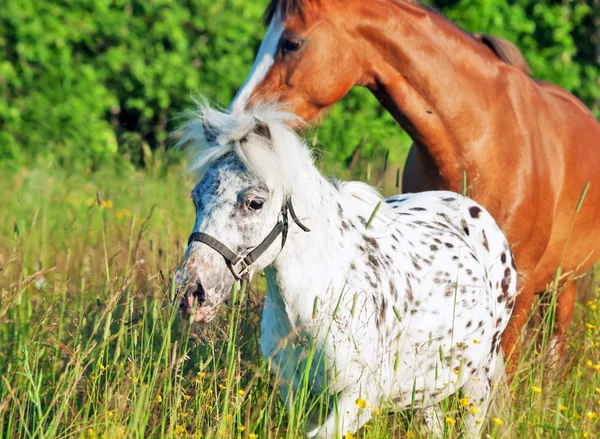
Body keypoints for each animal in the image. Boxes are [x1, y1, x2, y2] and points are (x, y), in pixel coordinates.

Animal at [173, 102, 516, 436]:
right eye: (195, 198)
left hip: (476, 382)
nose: (191, 292)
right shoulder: (297, 395)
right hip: (426, 388)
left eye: (254, 203)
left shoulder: (359, 398)